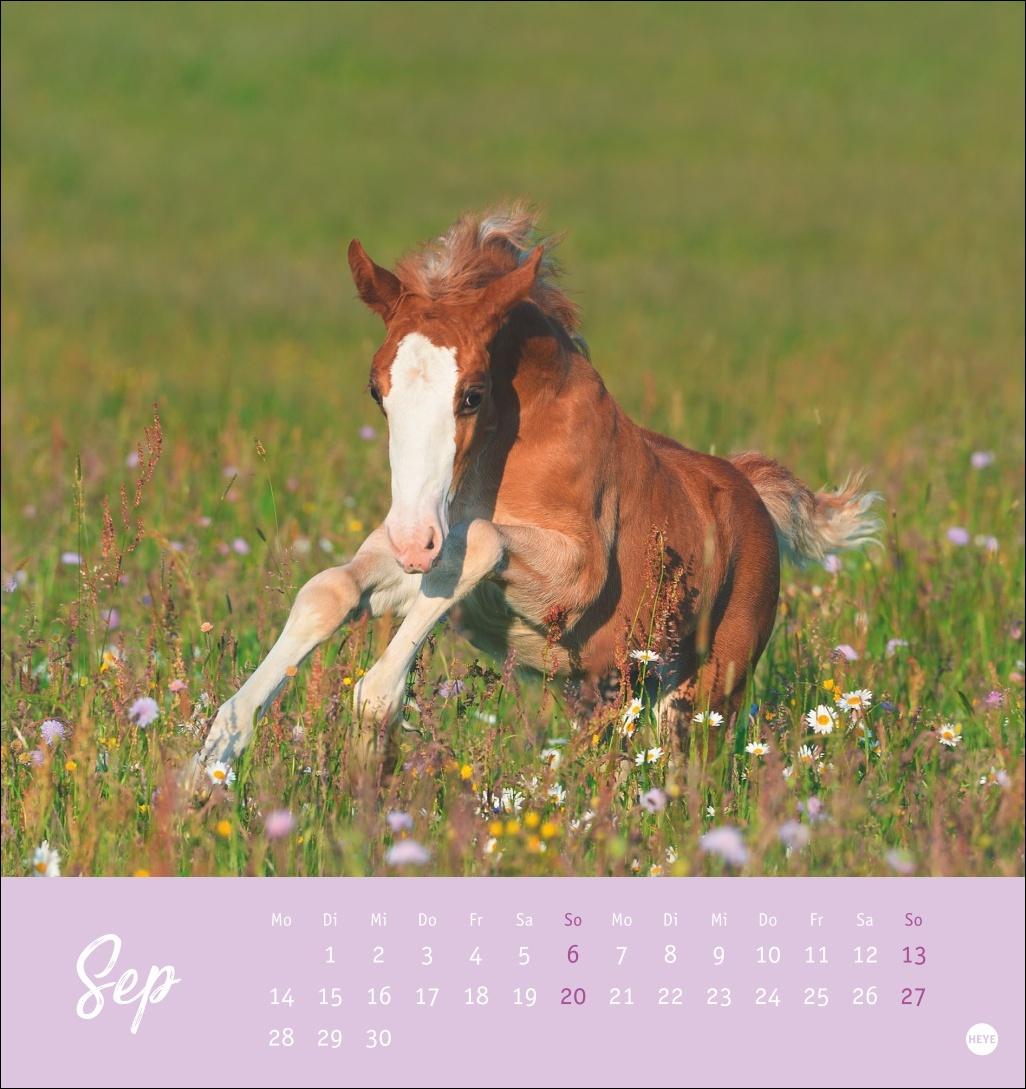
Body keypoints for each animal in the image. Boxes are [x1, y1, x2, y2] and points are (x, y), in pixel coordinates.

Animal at [195, 204, 879, 777]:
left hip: (707, 691)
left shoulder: (571, 580)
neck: (503, 455)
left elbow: (479, 543)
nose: (414, 541)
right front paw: (211, 761)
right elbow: (331, 589)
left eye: (472, 394)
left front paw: (372, 726)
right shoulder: (428, 562)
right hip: (614, 685)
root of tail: (750, 492)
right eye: (375, 389)